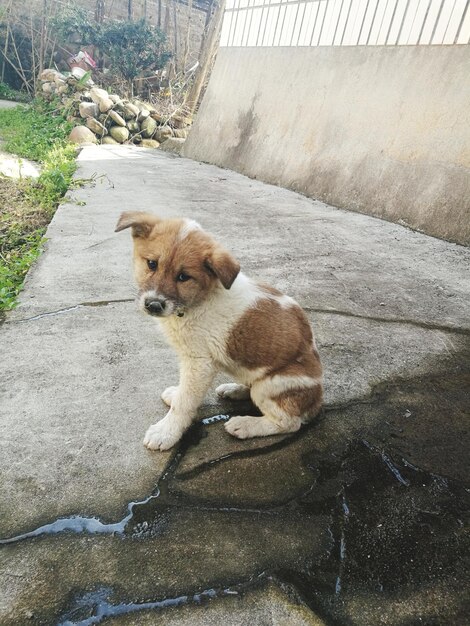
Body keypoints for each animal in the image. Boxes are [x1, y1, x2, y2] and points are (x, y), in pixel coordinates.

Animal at [115, 211, 324, 448]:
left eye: (183, 277)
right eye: (151, 264)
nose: (154, 305)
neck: (198, 301)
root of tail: (317, 399)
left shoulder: (199, 363)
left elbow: (184, 402)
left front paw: (166, 432)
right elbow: (183, 393)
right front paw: (175, 396)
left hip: (272, 385)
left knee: (288, 422)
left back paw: (245, 425)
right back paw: (235, 390)